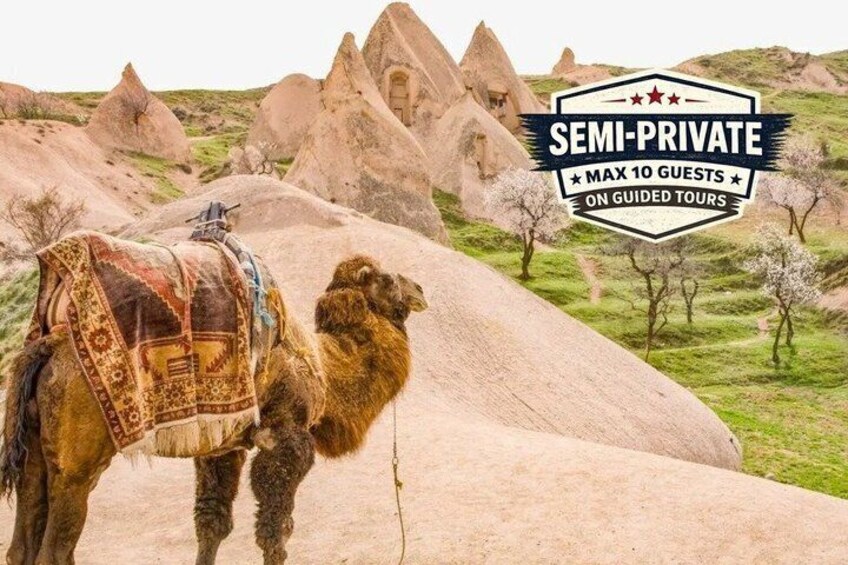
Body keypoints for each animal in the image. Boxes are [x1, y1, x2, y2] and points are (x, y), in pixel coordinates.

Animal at [0, 251, 427, 565]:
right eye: (388, 280)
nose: (420, 289)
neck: (322, 366)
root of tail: (49, 347)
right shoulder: (286, 438)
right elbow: (276, 530)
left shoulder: (224, 445)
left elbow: (212, 522)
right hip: (79, 461)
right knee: (56, 549)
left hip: (34, 448)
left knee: (22, 541)